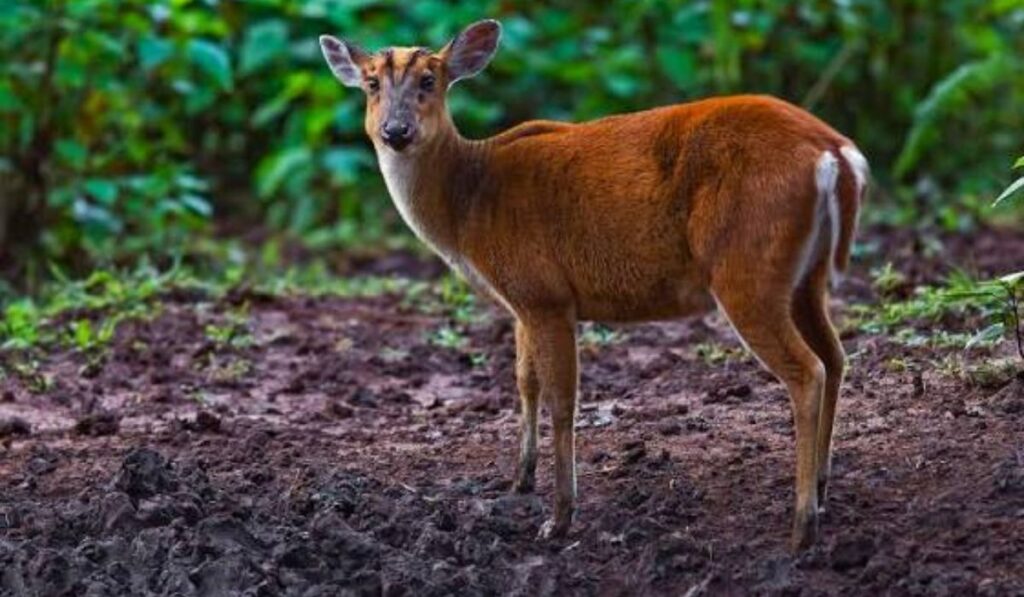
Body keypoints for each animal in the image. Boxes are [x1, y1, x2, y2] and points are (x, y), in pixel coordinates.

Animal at [319, 19, 868, 551]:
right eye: (371, 83)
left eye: (429, 80)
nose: (395, 131)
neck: (469, 203)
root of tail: (836, 153)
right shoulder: (523, 301)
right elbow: (524, 381)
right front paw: (519, 480)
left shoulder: (544, 292)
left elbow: (562, 400)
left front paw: (559, 519)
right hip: (804, 275)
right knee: (836, 356)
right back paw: (822, 489)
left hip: (746, 267)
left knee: (807, 370)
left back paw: (801, 527)